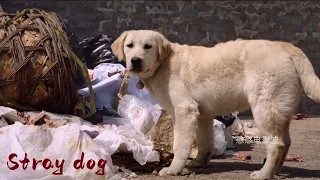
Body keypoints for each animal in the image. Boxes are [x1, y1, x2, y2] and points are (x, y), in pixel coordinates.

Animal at [110, 29, 320, 179]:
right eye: (129, 45)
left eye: (148, 46)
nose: (135, 61)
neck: (163, 64)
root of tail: (288, 47)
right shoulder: (202, 115)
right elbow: (204, 142)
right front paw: (199, 163)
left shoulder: (184, 111)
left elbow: (180, 145)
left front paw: (173, 169)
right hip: (279, 110)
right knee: (286, 142)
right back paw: (276, 171)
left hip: (264, 108)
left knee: (276, 145)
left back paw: (264, 174)